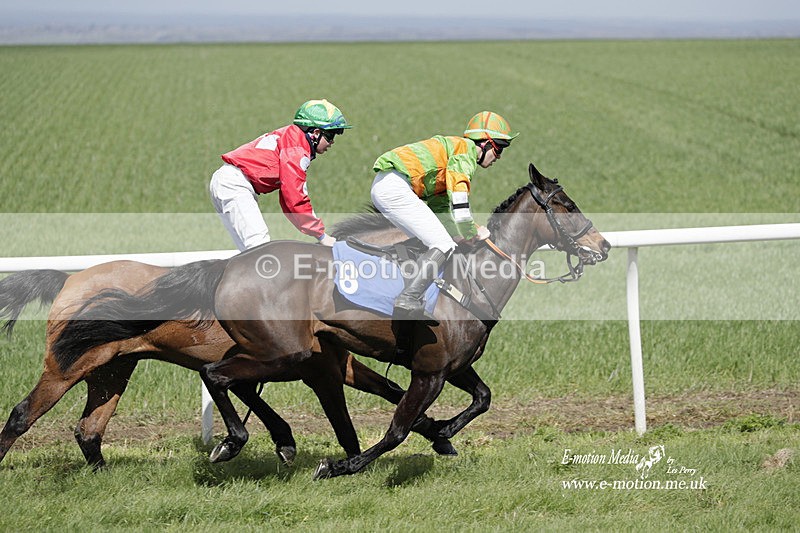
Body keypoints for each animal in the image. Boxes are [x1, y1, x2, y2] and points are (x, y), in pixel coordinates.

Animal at [0, 261, 455, 468]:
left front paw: (441, 436)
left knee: (89, 429)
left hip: (112, 371)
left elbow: (395, 393)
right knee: (23, 413)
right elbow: (345, 420)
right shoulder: (321, 372)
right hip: (66, 367)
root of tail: (69, 278)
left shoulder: (335, 366)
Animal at [55, 162, 611, 478]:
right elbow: (397, 429)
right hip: (284, 350)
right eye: (565, 204)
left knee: (226, 376)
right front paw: (343, 464)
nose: (603, 245)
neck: (471, 277)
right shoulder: (429, 370)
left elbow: (482, 398)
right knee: (216, 374)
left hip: (274, 349)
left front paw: (444, 434)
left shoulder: (453, 365)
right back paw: (235, 443)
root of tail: (229, 267)